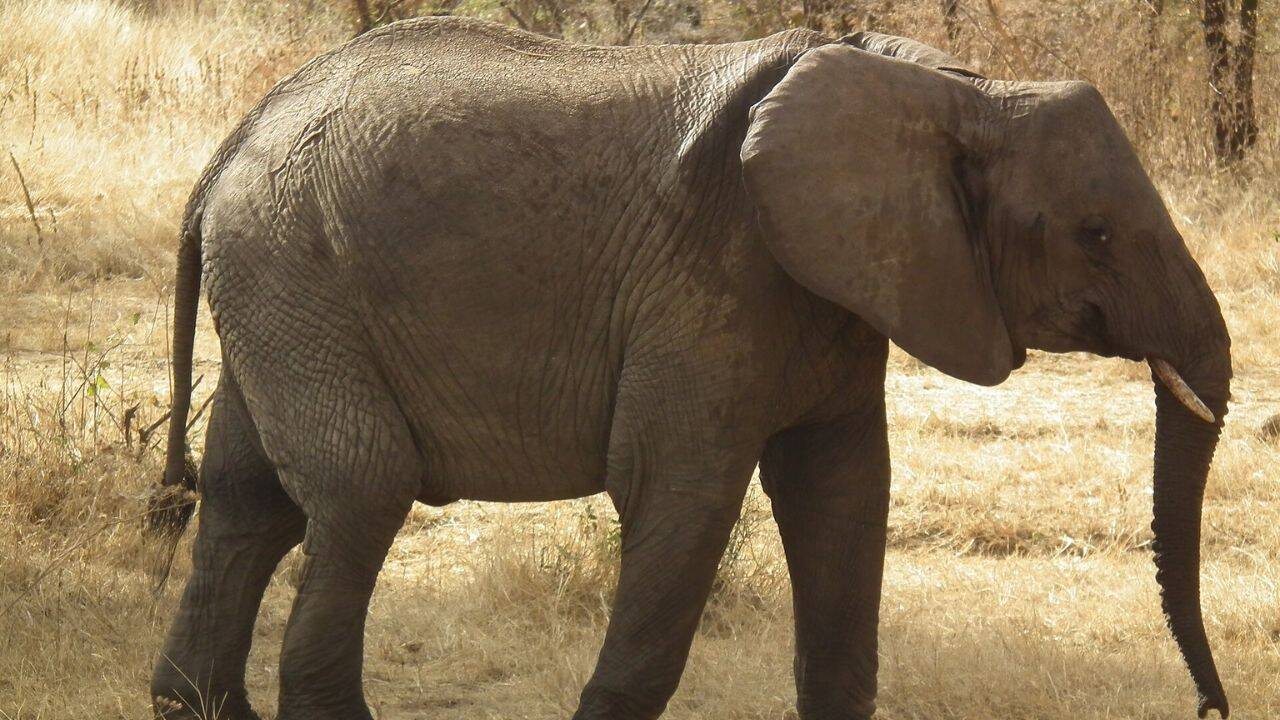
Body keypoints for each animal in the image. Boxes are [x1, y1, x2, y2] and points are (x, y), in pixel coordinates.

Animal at [148, 17, 1233, 720]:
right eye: (1095, 234)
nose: (1211, 710)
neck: (948, 86)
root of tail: (228, 149)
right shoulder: (709, 276)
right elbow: (682, 491)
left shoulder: (841, 286)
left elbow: (843, 493)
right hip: (297, 271)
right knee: (362, 488)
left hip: (282, 296)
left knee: (249, 499)